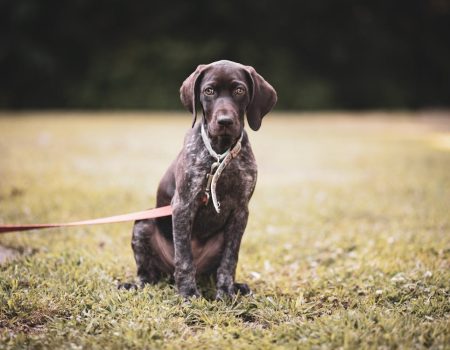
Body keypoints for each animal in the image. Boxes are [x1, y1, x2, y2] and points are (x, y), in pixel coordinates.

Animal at [124, 59, 278, 298]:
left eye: (239, 90)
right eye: (209, 91)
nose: (225, 121)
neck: (220, 154)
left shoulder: (240, 211)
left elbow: (229, 260)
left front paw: (226, 293)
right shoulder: (183, 205)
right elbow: (184, 259)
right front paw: (188, 293)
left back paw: (236, 286)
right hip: (144, 222)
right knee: (149, 274)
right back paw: (139, 284)